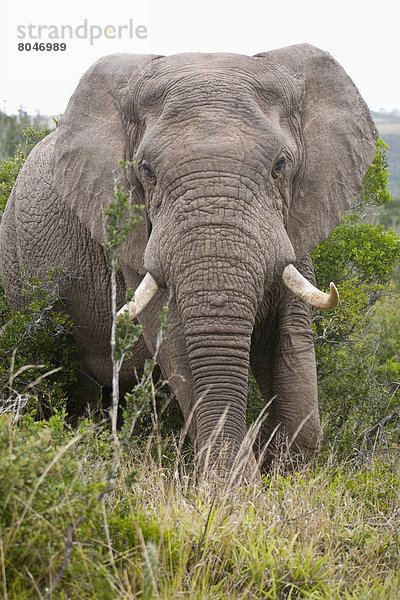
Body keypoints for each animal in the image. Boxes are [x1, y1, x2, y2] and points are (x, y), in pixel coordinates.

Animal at [0, 43, 376, 478]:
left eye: (281, 165)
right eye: (146, 170)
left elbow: (291, 336)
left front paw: (286, 478)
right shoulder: (133, 234)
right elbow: (174, 337)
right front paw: (232, 486)